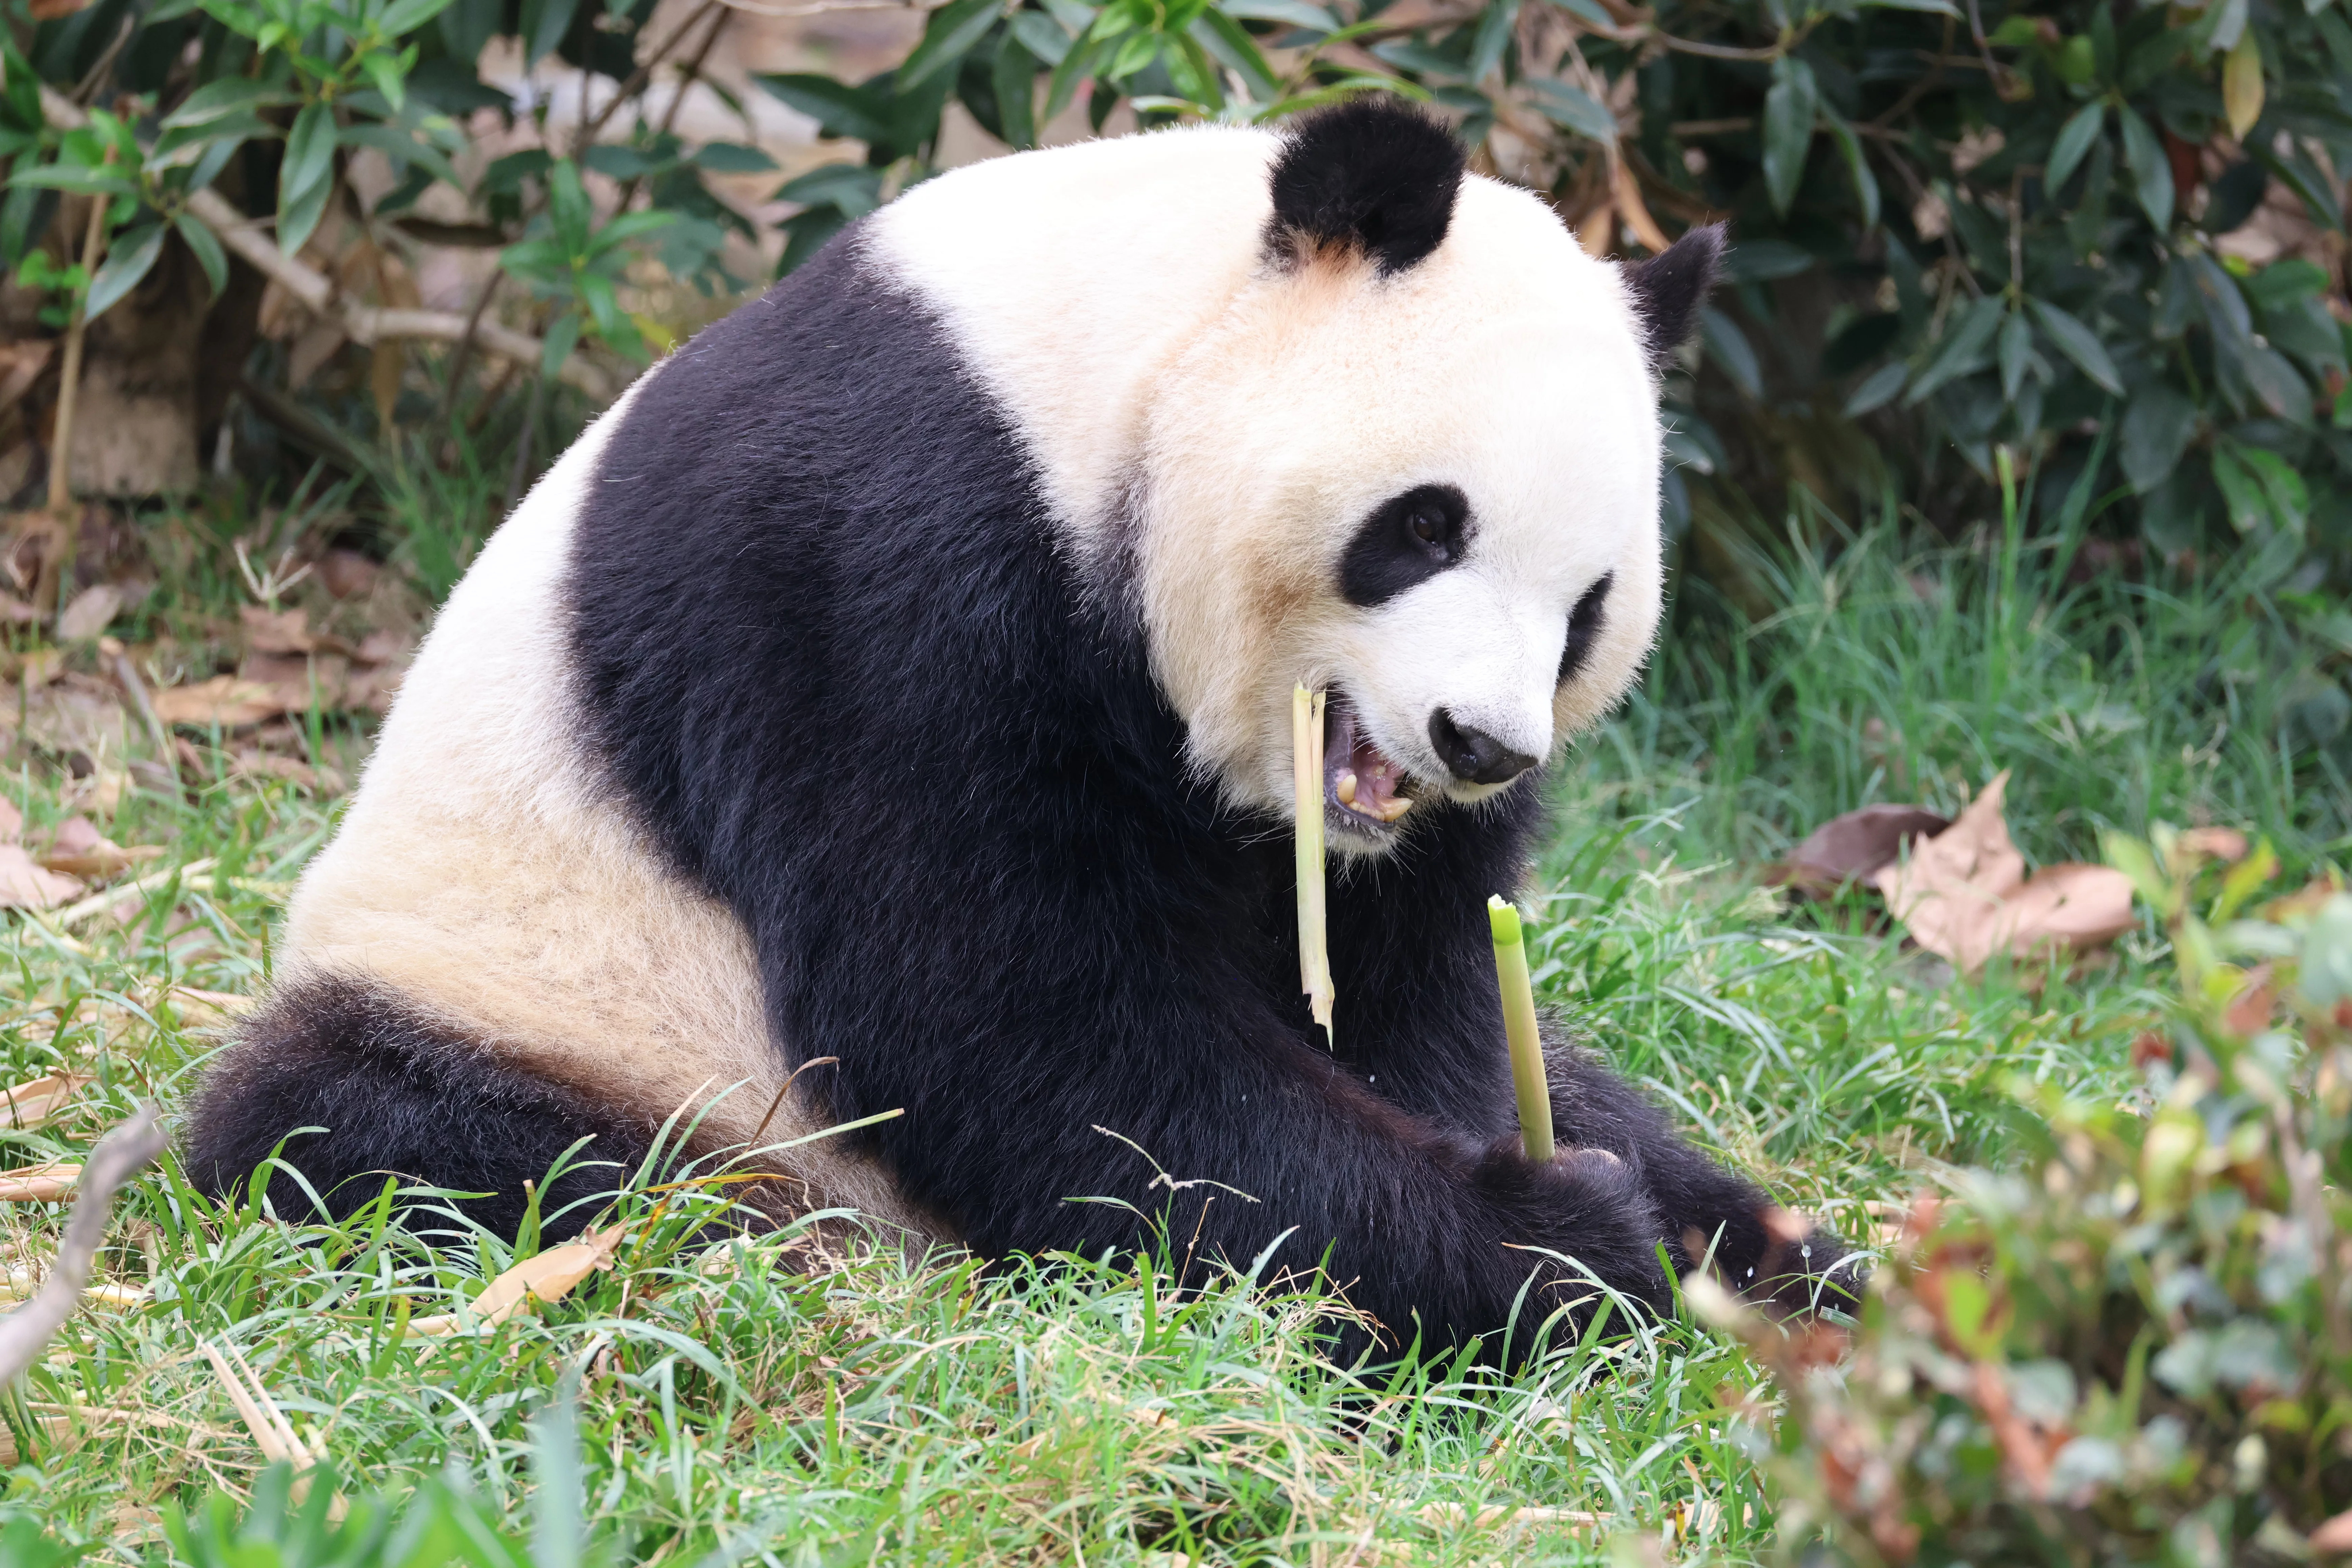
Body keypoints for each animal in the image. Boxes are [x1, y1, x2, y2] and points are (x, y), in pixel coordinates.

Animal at [185, 98, 1858, 1352]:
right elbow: (999, 1012)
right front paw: (1548, 1245)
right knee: (425, 1140)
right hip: (555, 1000)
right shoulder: (883, 554)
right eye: (1425, 524)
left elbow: (1412, 999)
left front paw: (1622, 1226)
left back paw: (1798, 1262)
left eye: (1587, 605)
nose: (1480, 741)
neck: (1102, 360)